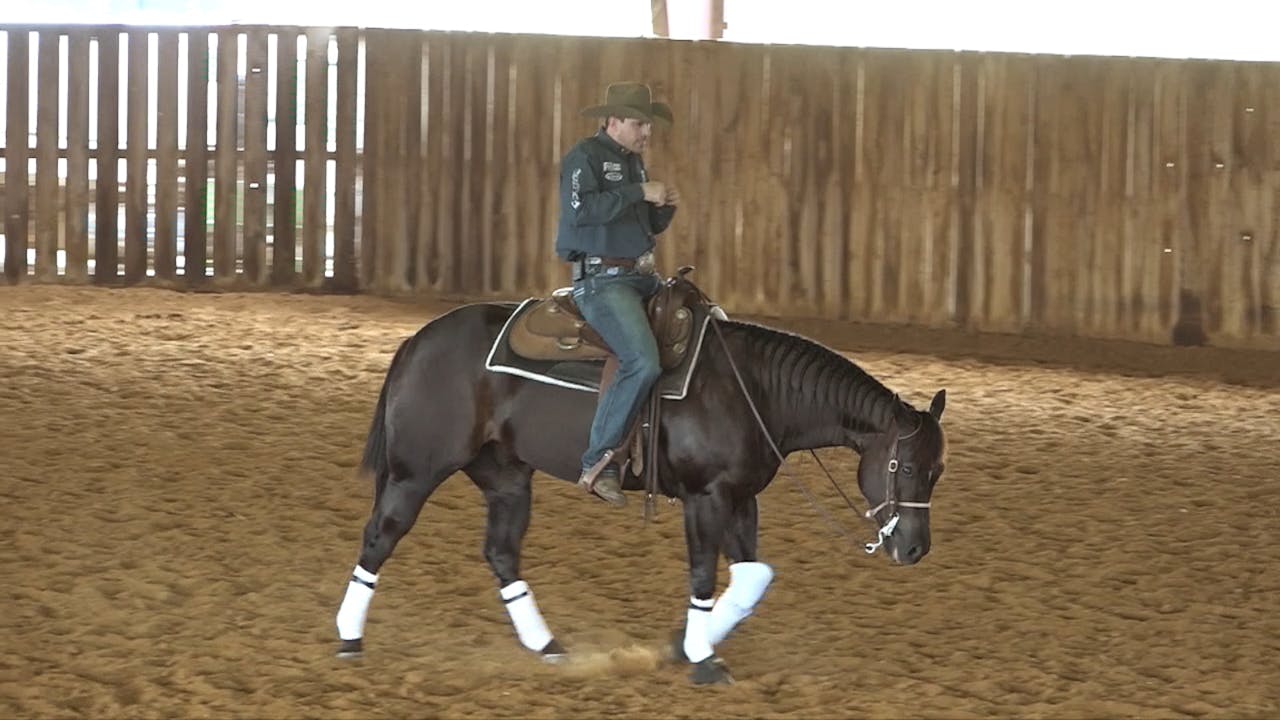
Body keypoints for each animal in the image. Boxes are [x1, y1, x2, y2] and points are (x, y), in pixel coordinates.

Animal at [333, 287, 949, 685]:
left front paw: (688, 644)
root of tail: (418, 340)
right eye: (906, 467)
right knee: (379, 538)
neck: (753, 389)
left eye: (938, 470)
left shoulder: (742, 498)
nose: (915, 548)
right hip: (416, 471)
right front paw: (702, 657)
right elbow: (703, 573)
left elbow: (752, 575)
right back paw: (349, 637)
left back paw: (547, 646)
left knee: (502, 553)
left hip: (506, 476)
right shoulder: (705, 496)